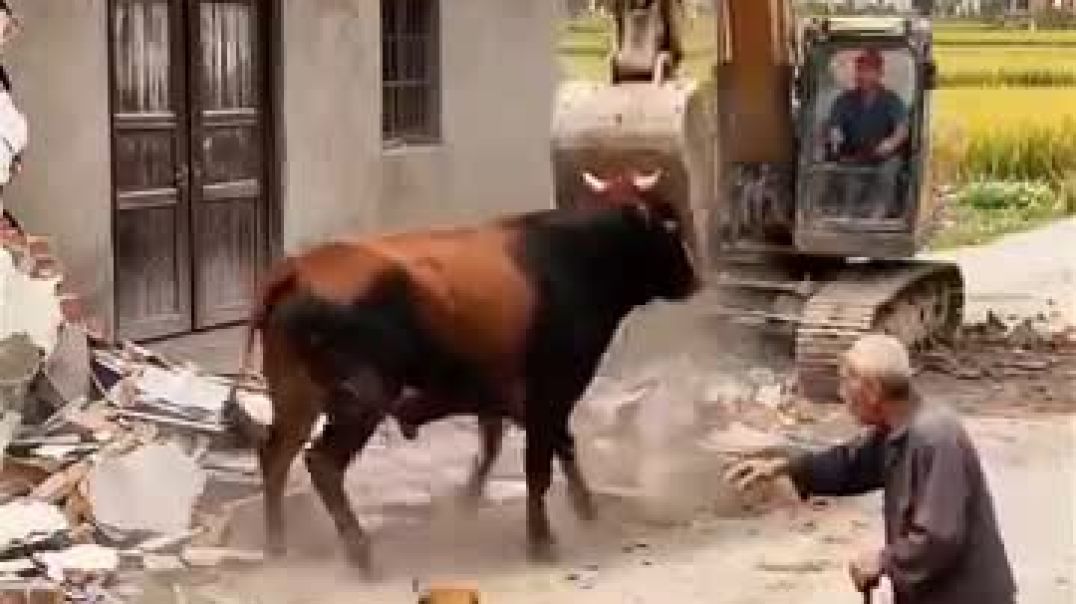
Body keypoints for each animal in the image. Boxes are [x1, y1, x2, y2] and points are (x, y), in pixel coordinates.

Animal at [225, 169, 701, 574]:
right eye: (670, 224)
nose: (694, 280)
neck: (579, 253)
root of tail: (298, 269)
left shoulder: (511, 395)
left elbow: (541, 447)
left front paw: (581, 510)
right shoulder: (549, 388)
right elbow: (538, 465)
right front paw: (541, 540)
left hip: (295, 394)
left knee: (275, 455)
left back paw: (278, 544)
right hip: (361, 399)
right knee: (322, 463)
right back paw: (361, 554)